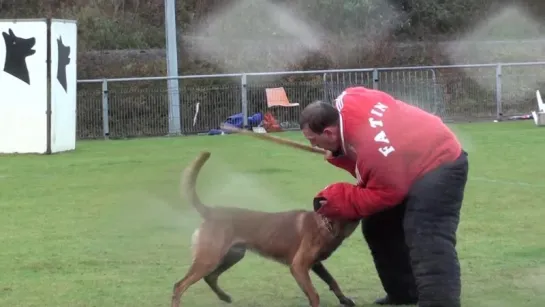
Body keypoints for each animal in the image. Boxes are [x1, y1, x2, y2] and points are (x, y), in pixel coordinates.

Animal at [172, 152, 360, 307]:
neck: (326, 223)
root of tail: (211, 211)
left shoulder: (316, 264)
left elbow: (332, 281)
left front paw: (344, 300)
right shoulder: (298, 267)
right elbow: (314, 295)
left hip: (233, 255)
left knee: (210, 277)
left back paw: (225, 297)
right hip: (209, 258)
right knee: (179, 286)